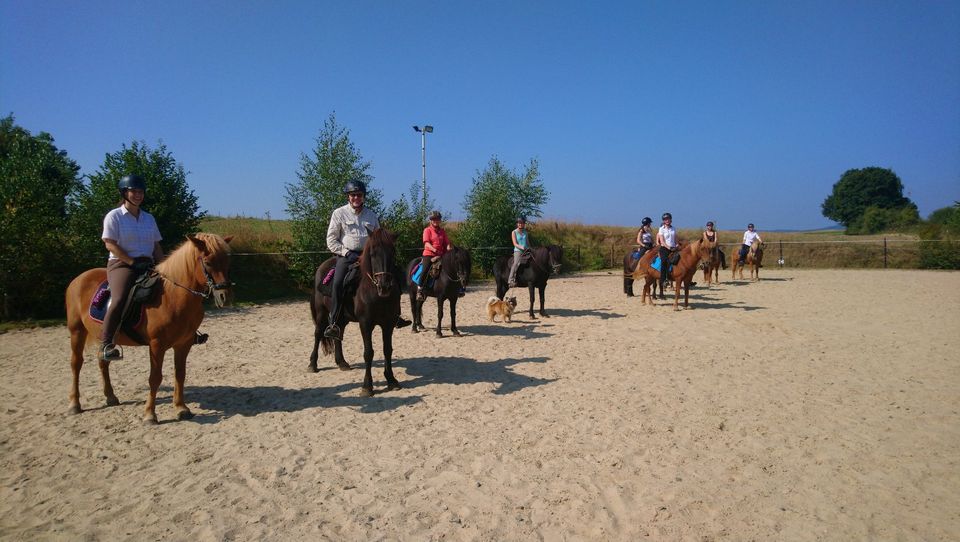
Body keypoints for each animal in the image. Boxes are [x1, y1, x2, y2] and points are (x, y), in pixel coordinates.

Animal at [64, 234, 234, 424]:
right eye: (208, 262)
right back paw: (74, 404)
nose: (225, 297)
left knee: (103, 361)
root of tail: (79, 278)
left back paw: (111, 397)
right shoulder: (156, 345)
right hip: (76, 331)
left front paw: (181, 408)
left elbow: (180, 375)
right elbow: (155, 378)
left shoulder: (183, 344)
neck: (172, 297)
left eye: (227, 261)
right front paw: (150, 414)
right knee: (76, 364)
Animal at [310, 227, 404, 398]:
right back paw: (312, 364)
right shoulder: (365, 324)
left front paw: (391, 380)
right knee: (318, 334)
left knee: (338, 334)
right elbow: (368, 353)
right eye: (372, 253)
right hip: (321, 314)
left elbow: (387, 350)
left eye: (393, 252)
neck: (374, 292)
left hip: (341, 318)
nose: (385, 286)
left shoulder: (388, 324)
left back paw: (341, 362)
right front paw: (367, 386)